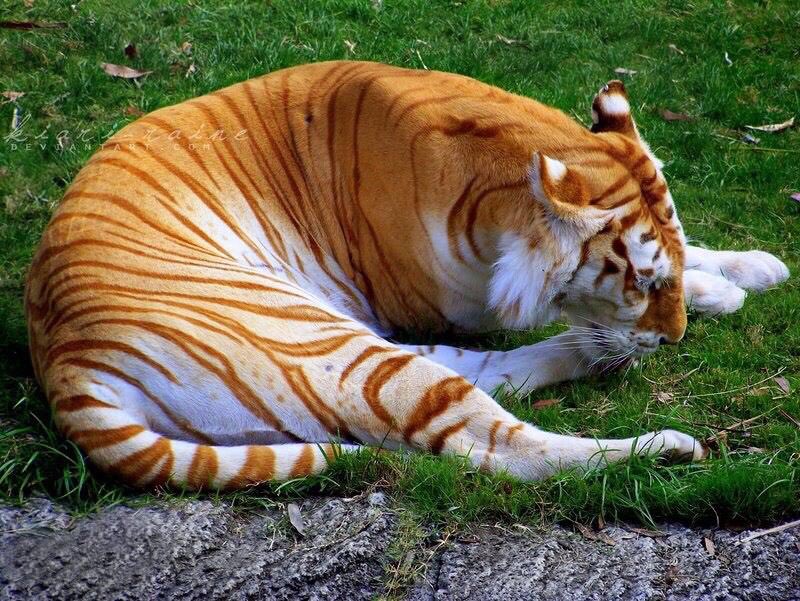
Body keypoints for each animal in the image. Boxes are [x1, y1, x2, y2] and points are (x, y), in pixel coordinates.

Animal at [25, 61, 789, 490]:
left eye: (662, 270)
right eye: (641, 283)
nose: (673, 341)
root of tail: (64, 365)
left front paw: (750, 267)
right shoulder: (454, 299)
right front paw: (717, 292)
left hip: (341, 343)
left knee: (494, 376)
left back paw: (592, 358)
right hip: (321, 341)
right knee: (497, 446)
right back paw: (664, 448)